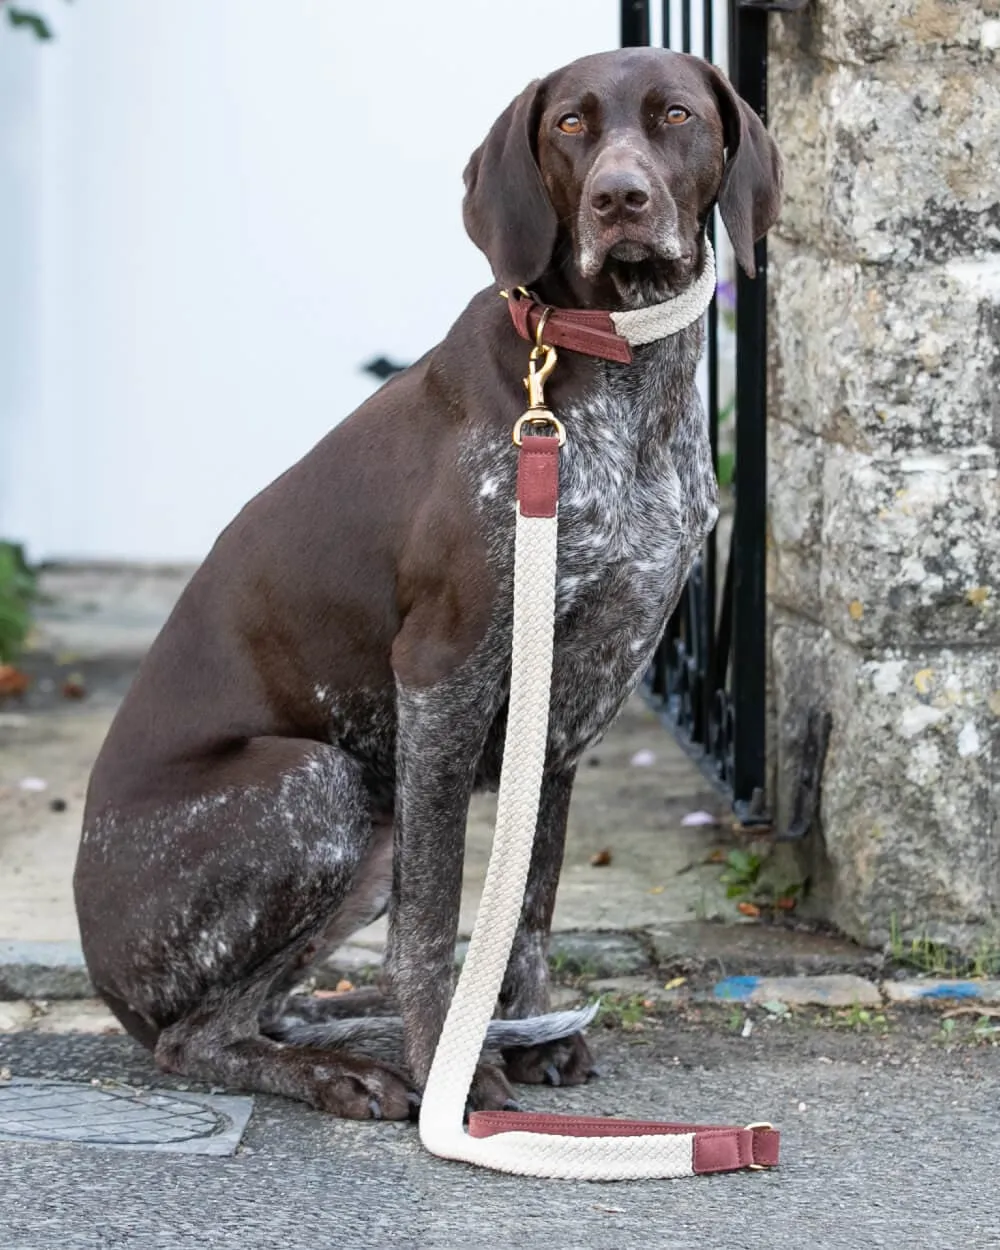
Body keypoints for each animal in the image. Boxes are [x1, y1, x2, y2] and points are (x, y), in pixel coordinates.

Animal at [76, 48, 780, 1125]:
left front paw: (522, 1034)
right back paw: (344, 1072)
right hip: (320, 786)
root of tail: (108, 985)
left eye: (675, 116)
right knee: (197, 1036)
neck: (620, 373)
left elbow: (528, 907)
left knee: (261, 1010)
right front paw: (453, 1074)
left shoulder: (567, 712)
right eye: (571, 125)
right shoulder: (442, 677)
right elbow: (430, 928)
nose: (620, 199)